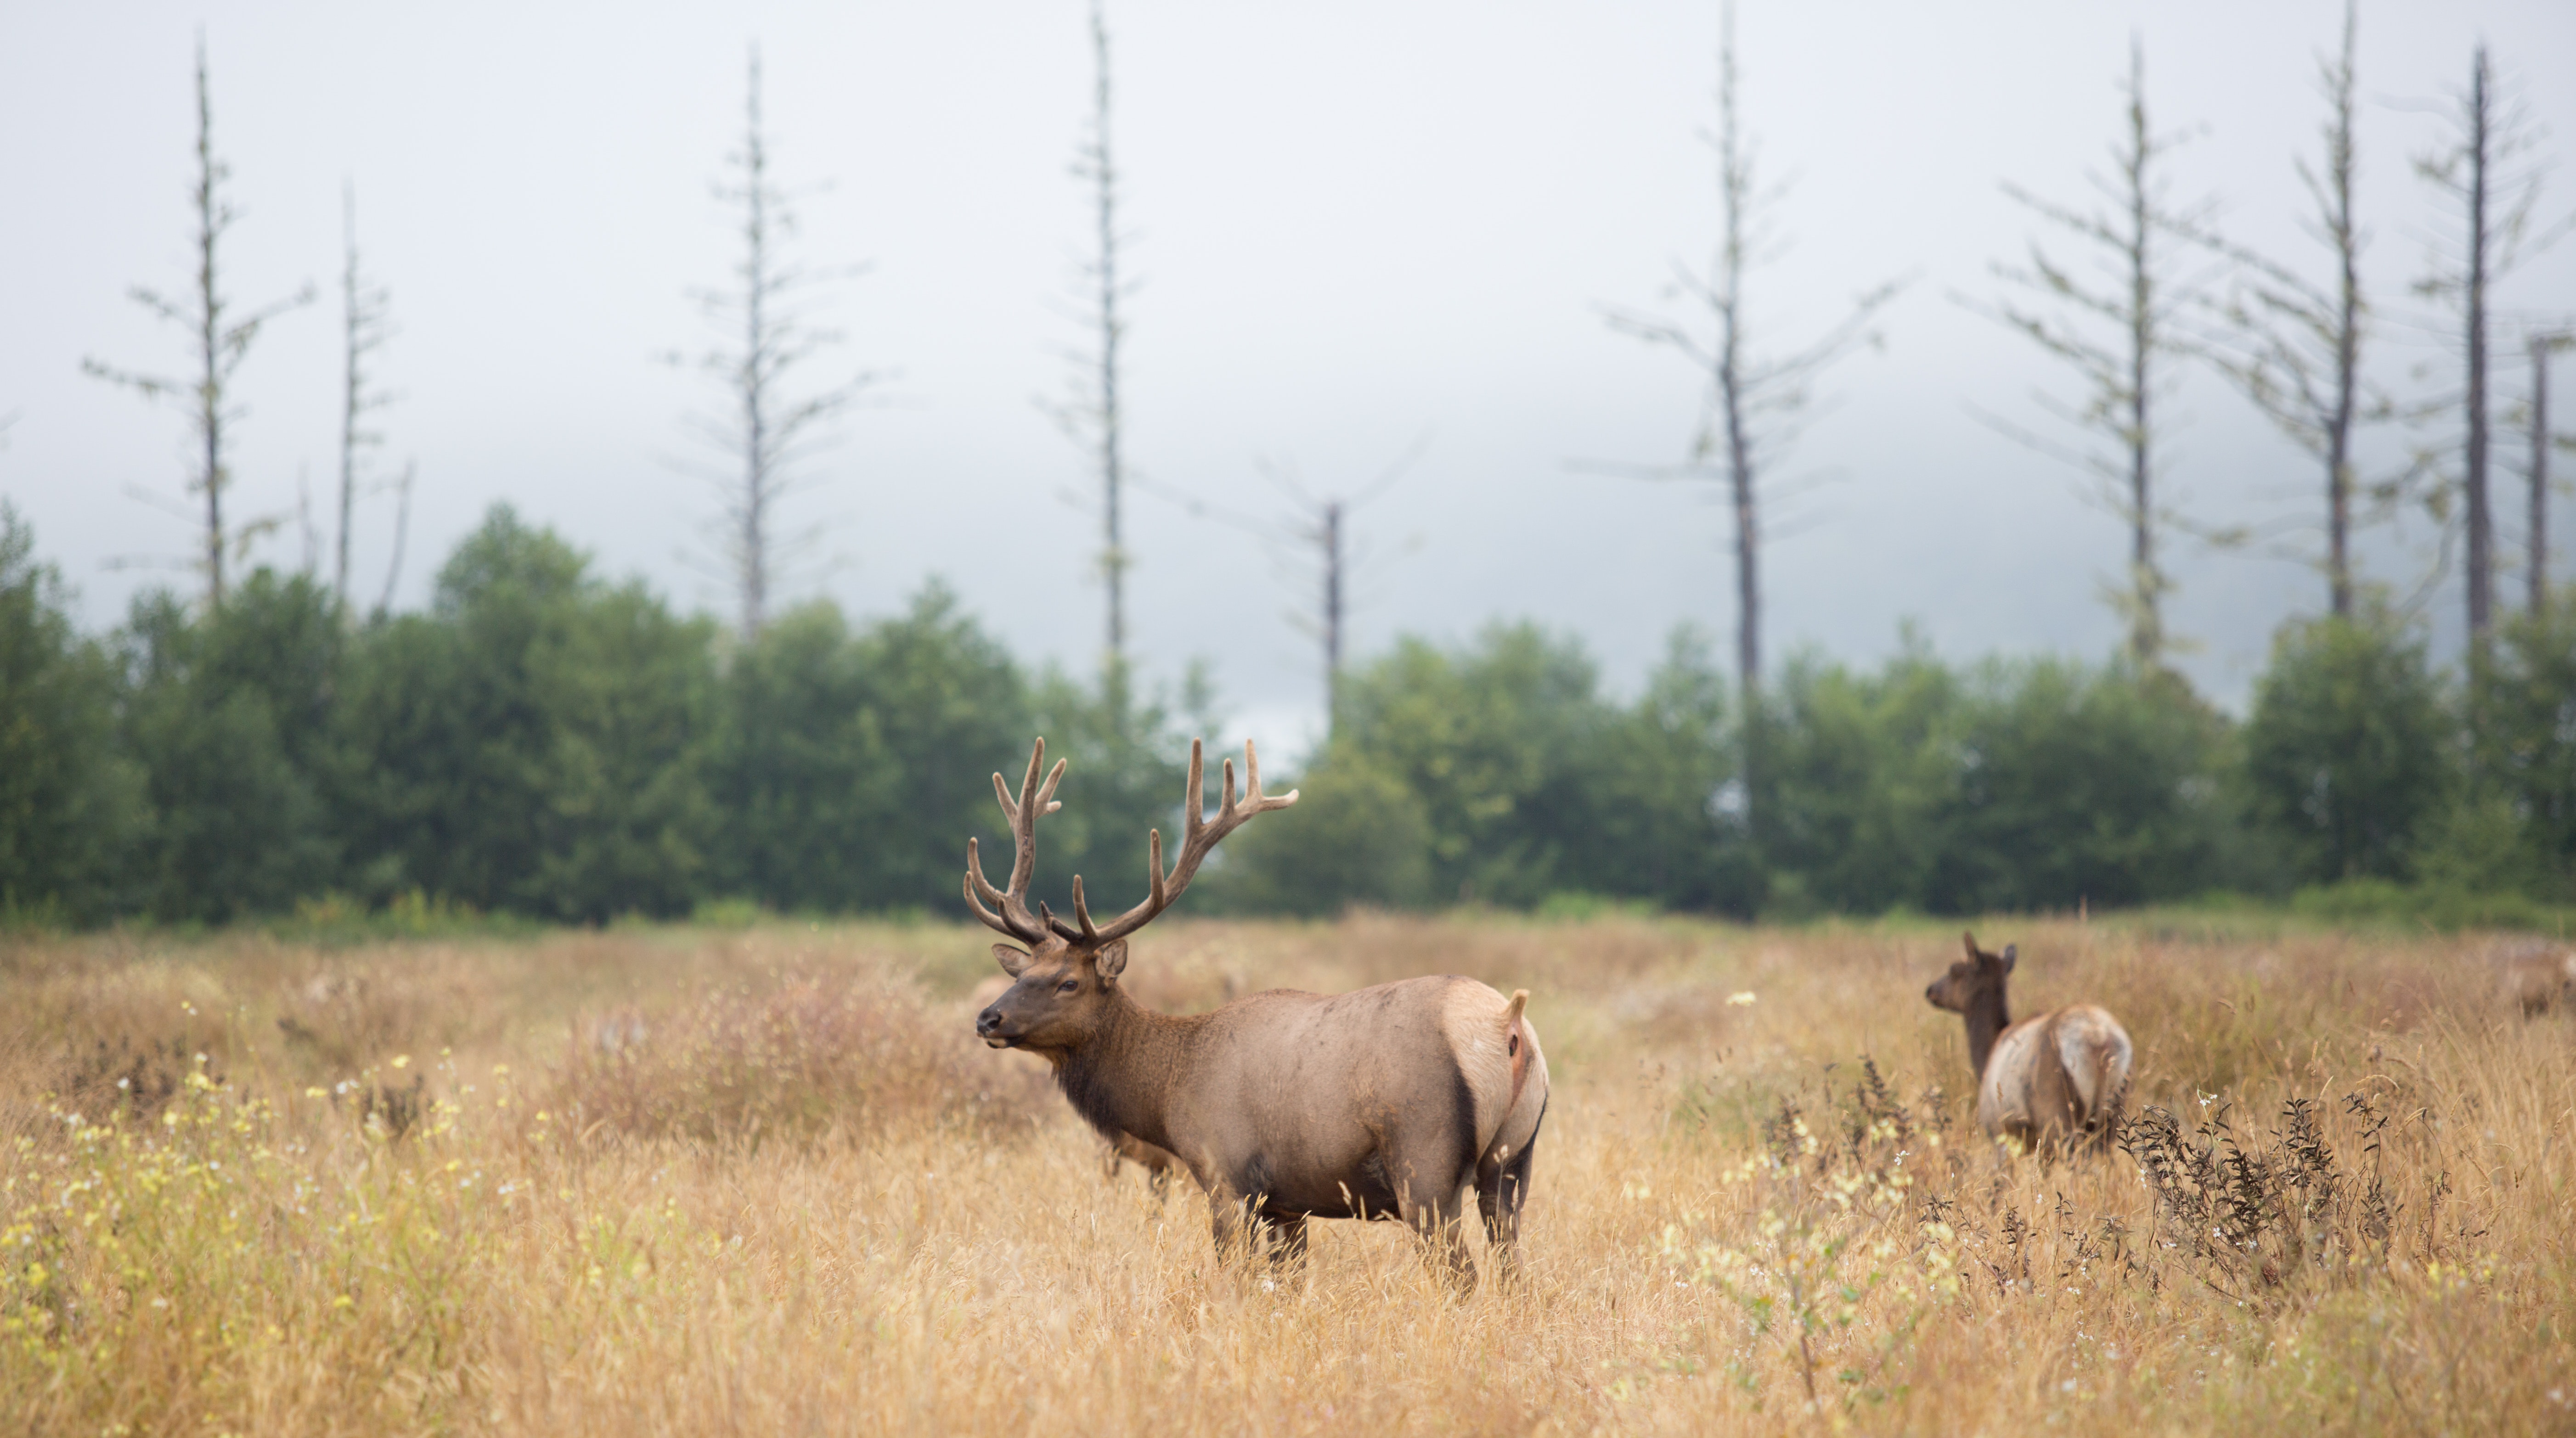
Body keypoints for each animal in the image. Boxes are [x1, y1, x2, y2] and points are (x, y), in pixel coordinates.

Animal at [958, 737, 1535, 1288]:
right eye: (1020, 975)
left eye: (1068, 983)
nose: (987, 1019)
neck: (1167, 1090)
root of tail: (1506, 1022)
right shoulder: (1288, 1202)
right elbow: (1288, 1281)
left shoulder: (1225, 1174)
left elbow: (1234, 1275)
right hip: (1512, 1162)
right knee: (1512, 1270)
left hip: (1424, 1162)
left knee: (1462, 1276)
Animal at [1916, 938, 2133, 1159]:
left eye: (1955, 970)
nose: (1930, 991)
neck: (1986, 1057)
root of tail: (2098, 1039)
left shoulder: (1999, 1131)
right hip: (2112, 1111)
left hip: (2055, 1113)